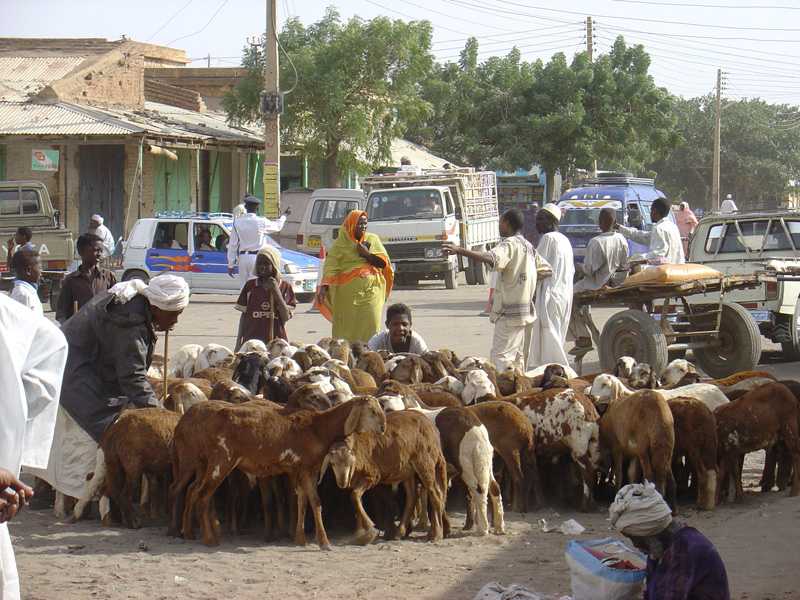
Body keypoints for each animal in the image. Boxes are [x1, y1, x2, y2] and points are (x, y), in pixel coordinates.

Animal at [170, 396, 386, 548]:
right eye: (372, 411)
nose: (384, 427)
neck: (319, 428)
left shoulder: (301, 470)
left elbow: (303, 502)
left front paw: (301, 539)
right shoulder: (306, 469)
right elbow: (315, 502)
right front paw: (324, 542)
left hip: (206, 464)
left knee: (193, 491)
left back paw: (190, 532)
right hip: (218, 462)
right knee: (201, 496)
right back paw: (208, 539)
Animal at [320, 410, 448, 544]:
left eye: (349, 463)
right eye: (332, 464)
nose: (342, 482)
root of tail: (432, 428)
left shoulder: (372, 476)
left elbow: (354, 495)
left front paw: (370, 528)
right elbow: (357, 499)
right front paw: (362, 534)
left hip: (424, 463)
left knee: (435, 494)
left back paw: (436, 534)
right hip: (408, 470)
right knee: (412, 497)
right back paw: (400, 533)